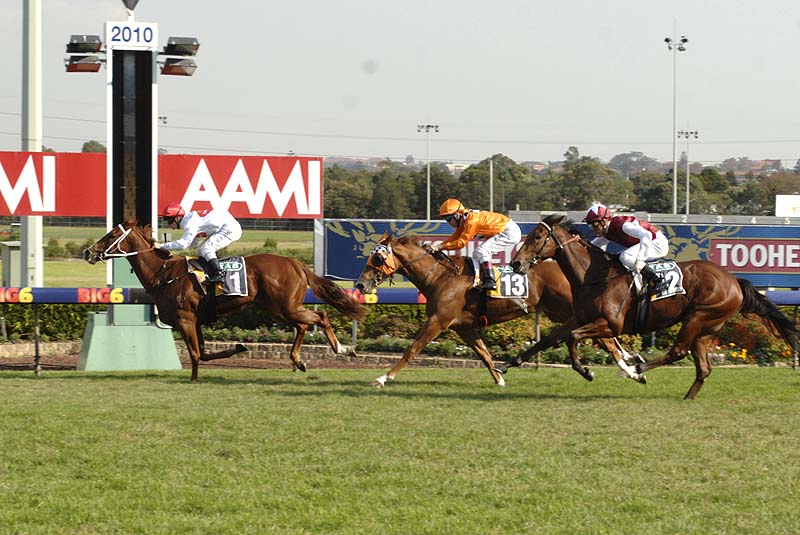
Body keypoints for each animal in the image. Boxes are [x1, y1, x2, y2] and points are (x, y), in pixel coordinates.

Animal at [83, 219, 366, 382]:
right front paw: (238, 348)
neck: (163, 273)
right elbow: (204, 353)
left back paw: (343, 349)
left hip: (285, 306)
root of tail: (296, 263)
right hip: (278, 309)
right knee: (304, 325)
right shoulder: (196, 321)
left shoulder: (185, 319)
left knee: (320, 317)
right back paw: (298, 360)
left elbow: (196, 353)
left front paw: (194, 380)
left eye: (110, 235)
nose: (88, 251)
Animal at [354, 232, 645, 387]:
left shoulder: (439, 321)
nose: (360, 284)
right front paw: (499, 378)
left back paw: (629, 368)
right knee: (606, 339)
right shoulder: (464, 327)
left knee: (607, 340)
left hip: (571, 310)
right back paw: (630, 366)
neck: (441, 276)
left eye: (377, 258)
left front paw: (383, 377)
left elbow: (412, 349)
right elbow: (484, 353)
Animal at [509, 214, 800, 399]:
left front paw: (592, 370)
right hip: (704, 328)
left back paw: (636, 370)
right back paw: (686, 397)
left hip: (698, 316)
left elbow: (572, 338)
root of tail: (734, 281)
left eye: (537, 236)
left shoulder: (609, 324)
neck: (594, 276)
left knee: (677, 352)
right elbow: (549, 339)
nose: (515, 263)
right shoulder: (580, 317)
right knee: (703, 367)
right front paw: (509, 364)